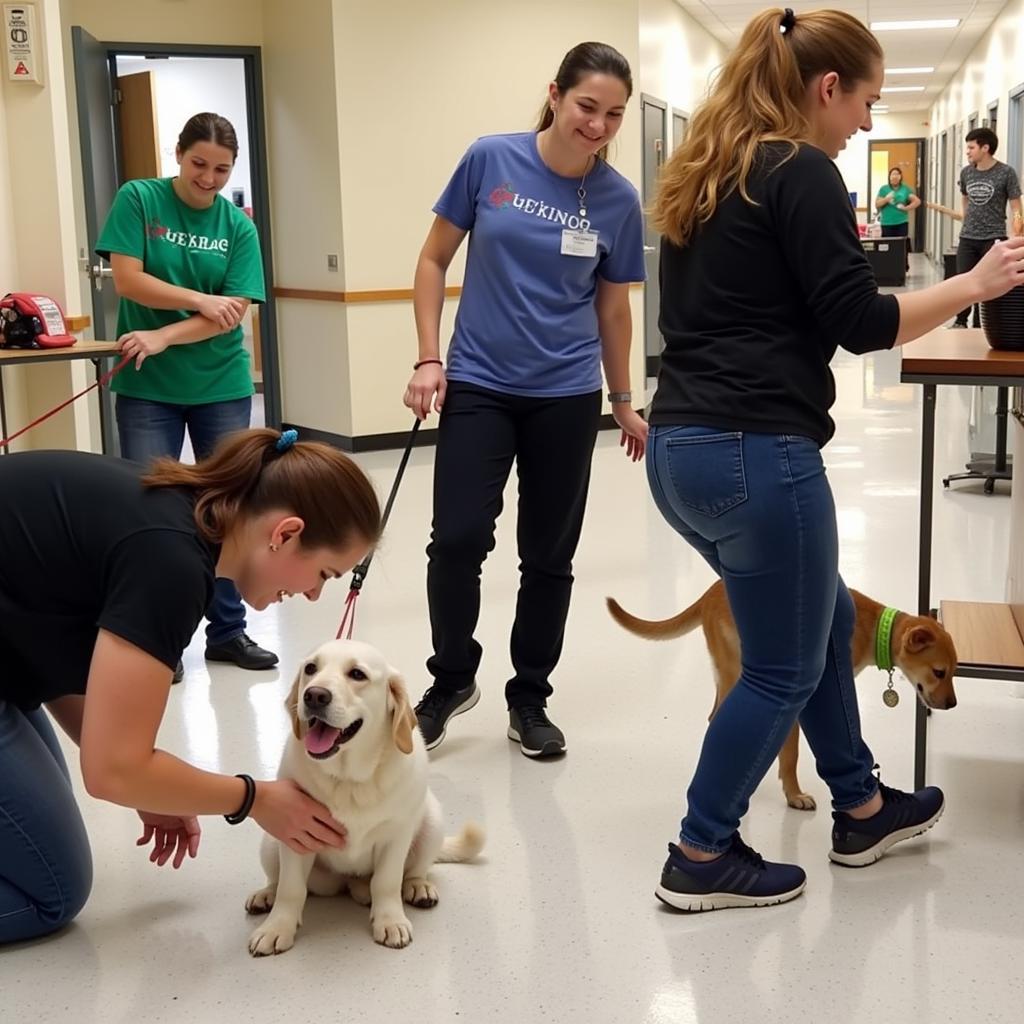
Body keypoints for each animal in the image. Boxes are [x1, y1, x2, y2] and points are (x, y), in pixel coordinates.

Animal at [602, 585, 954, 806]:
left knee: (714, 717)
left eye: (953, 670)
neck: (873, 627)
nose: (951, 704)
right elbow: (791, 754)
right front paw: (794, 794)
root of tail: (708, 595)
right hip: (734, 670)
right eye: (938, 672)